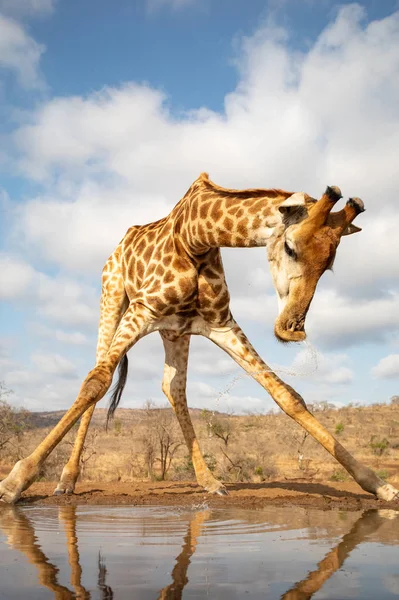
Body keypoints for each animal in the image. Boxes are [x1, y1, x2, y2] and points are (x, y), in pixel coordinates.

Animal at [0, 171, 399, 504]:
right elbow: (95, 382)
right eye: (290, 247)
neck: (197, 237)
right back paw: (67, 481)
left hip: (174, 332)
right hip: (112, 298)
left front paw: (378, 485)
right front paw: (15, 482)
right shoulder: (142, 309)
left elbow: (285, 394)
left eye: (329, 264)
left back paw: (209, 480)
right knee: (101, 371)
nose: (292, 328)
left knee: (172, 387)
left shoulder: (220, 324)